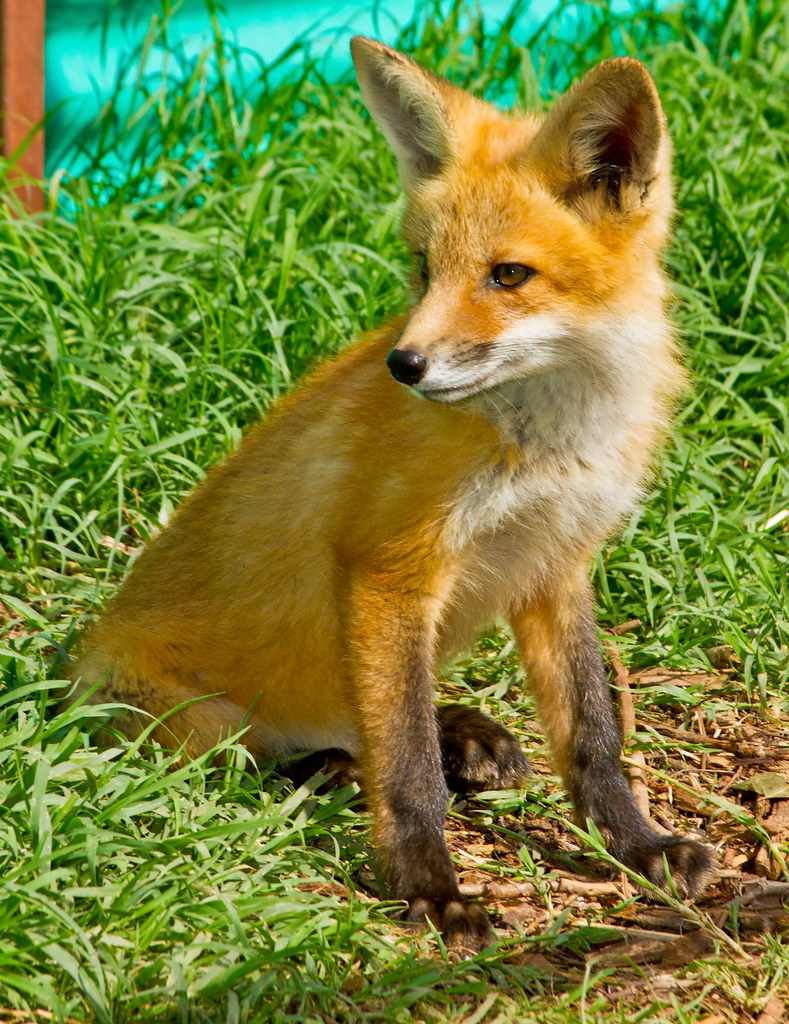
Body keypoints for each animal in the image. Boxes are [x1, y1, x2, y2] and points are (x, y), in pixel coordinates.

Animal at [67, 37, 713, 949]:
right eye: (424, 268)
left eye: (507, 275)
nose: (404, 366)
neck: (547, 445)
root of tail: (64, 674)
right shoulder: (389, 573)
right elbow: (405, 769)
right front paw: (431, 891)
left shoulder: (553, 563)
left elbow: (591, 735)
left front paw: (637, 847)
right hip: (204, 726)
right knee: (282, 757)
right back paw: (332, 767)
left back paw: (460, 734)